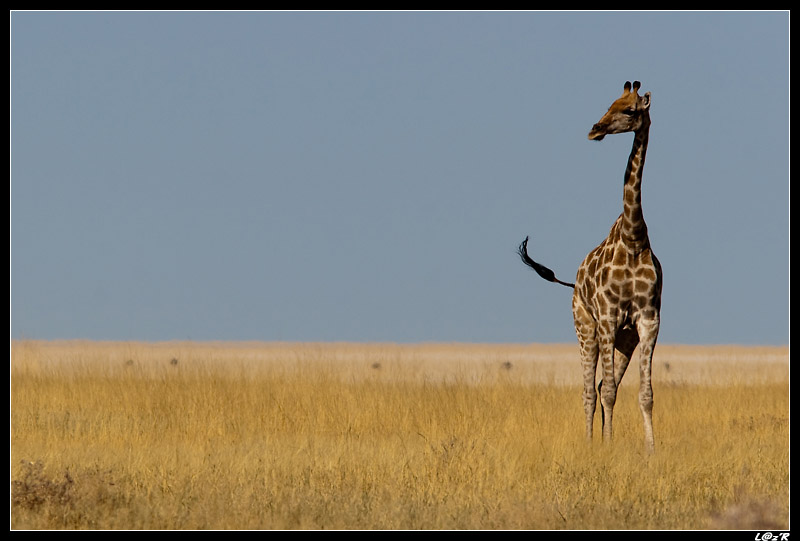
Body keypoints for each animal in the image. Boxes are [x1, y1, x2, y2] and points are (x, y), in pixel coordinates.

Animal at [518, 80, 662, 452]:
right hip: (586, 328)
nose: (595, 129)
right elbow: (609, 390)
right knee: (588, 390)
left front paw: (650, 450)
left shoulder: (648, 320)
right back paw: (589, 442)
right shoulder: (609, 316)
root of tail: (572, 284)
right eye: (609, 103)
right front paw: (607, 446)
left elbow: (645, 393)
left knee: (598, 387)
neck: (634, 238)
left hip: (624, 338)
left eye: (630, 110)